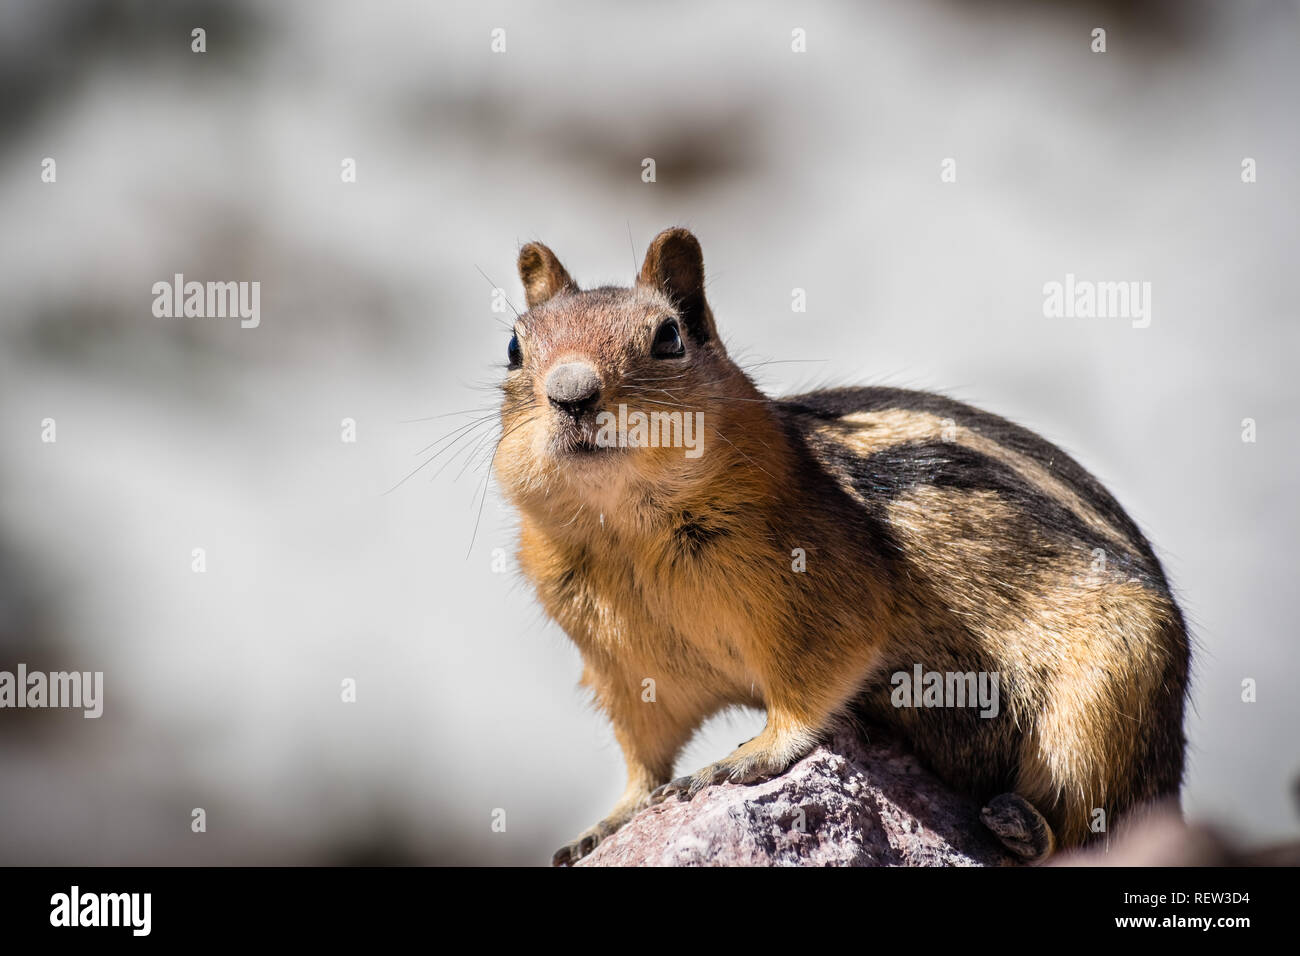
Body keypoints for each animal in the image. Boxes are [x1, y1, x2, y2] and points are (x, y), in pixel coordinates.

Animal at [493, 226, 1190, 868]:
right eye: (513, 346)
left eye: (668, 338)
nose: (572, 393)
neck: (626, 532)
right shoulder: (627, 667)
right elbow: (644, 754)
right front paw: (608, 822)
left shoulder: (823, 596)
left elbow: (810, 691)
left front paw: (745, 757)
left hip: (1108, 695)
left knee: (1090, 816)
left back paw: (1023, 826)